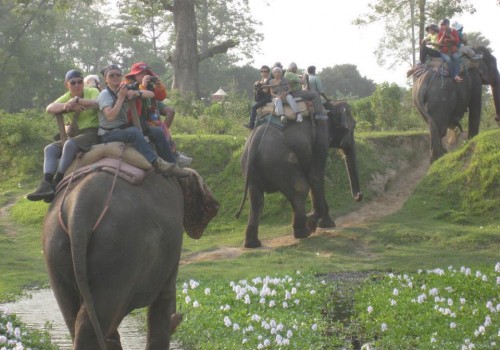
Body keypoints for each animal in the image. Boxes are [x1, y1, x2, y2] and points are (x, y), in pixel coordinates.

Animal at [44, 168, 220, 348]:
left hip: (54, 249)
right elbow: (165, 296)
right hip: (118, 250)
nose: (180, 316)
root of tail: (78, 207)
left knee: (73, 314)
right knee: (94, 317)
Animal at [237, 101, 364, 249]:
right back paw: (303, 232)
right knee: (300, 188)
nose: (359, 195)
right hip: (281, 164)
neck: (328, 106)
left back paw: (252, 244)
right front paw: (313, 220)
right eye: (353, 127)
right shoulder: (321, 136)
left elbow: (312, 179)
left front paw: (324, 223)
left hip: (250, 170)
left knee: (256, 201)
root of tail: (255, 141)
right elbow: (315, 175)